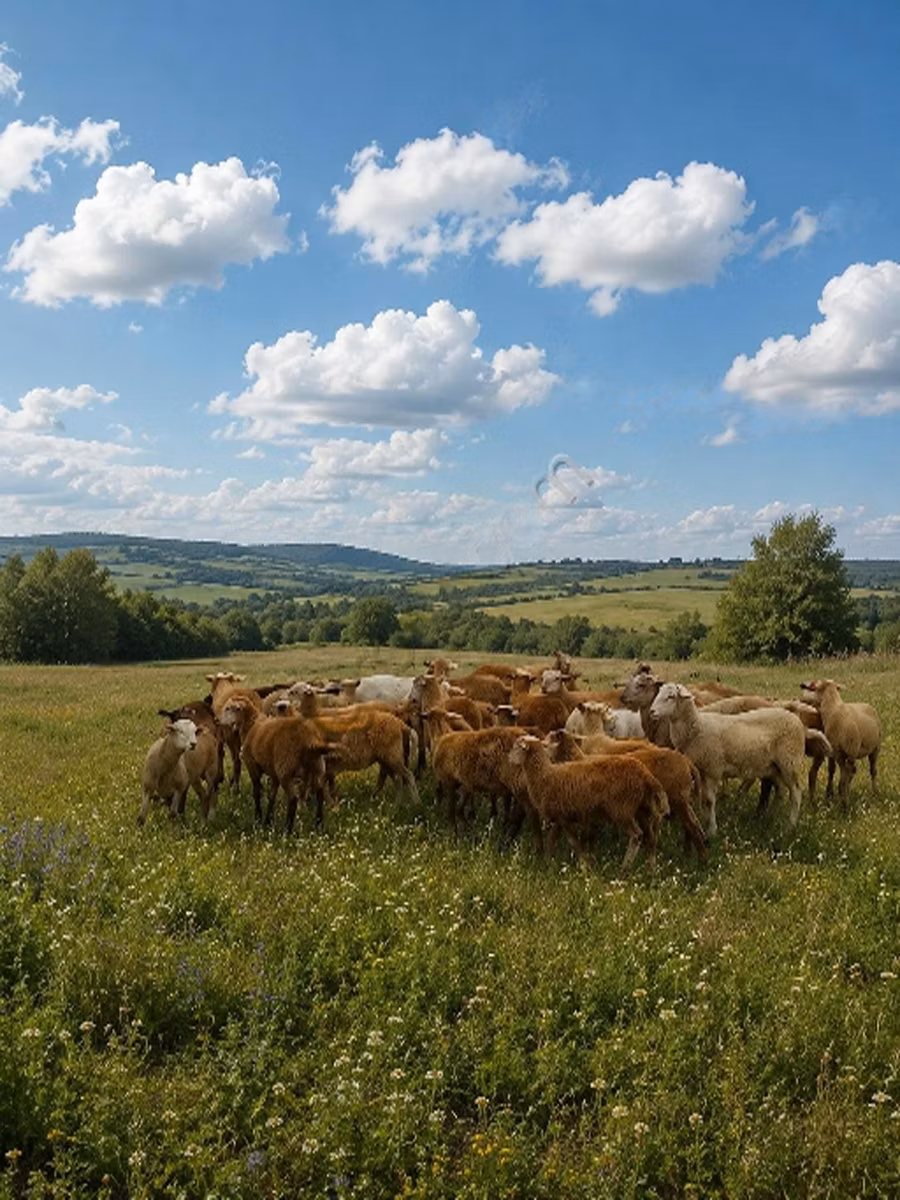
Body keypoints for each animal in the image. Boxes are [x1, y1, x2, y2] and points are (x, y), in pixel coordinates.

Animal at [509, 734, 670, 871]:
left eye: (516, 747)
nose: (508, 758)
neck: (544, 775)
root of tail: (645, 774)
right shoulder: (561, 818)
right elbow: (552, 840)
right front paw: (547, 863)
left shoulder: (564, 818)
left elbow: (574, 843)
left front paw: (584, 867)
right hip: (642, 810)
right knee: (650, 839)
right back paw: (651, 870)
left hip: (621, 809)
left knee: (637, 836)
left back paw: (624, 868)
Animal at [649, 682, 808, 837]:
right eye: (658, 693)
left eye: (671, 696)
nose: (651, 711)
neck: (697, 727)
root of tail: (796, 720)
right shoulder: (702, 771)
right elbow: (705, 801)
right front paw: (706, 821)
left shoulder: (713, 769)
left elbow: (709, 801)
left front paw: (712, 830)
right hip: (774, 767)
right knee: (780, 791)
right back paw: (771, 818)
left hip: (790, 762)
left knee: (796, 792)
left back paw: (789, 826)